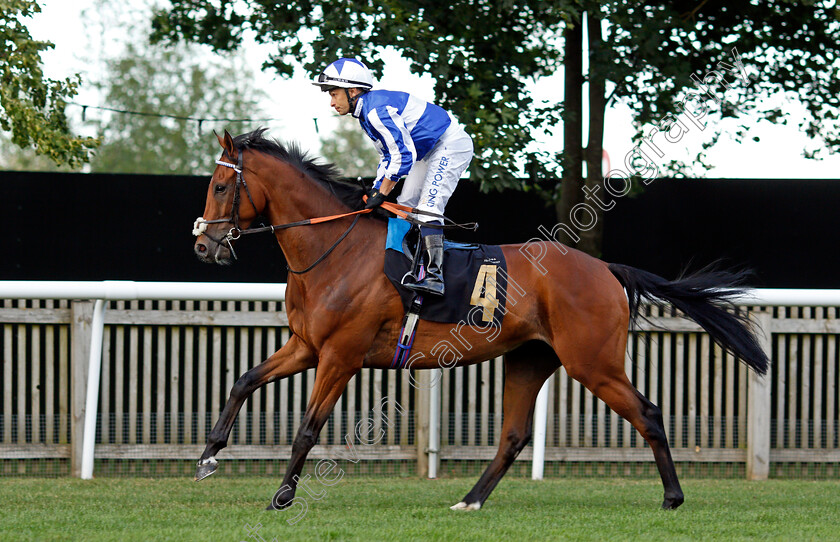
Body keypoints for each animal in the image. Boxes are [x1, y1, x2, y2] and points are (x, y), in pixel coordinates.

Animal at [192, 130, 768, 512]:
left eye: (220, 186)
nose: (203, 244)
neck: (332, 249)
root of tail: (604, 267)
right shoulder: (307, 346)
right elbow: (244, 381)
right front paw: (208, 457)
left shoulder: (341, 354)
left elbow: (308, 429)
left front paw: (282, 495)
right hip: (531, 358)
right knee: (513, 434)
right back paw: (470, 500)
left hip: (593, 362)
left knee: (647, 413)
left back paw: (673, 497)